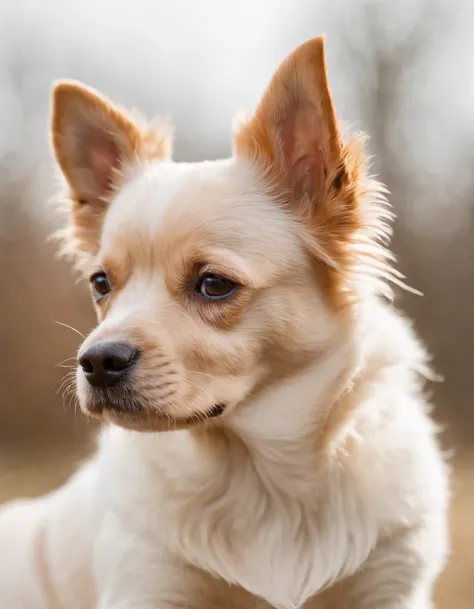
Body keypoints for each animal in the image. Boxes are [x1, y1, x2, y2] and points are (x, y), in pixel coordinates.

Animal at [0, 38, 448, 608]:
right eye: (101, 283)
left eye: (214, 284)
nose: (96, 361)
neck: (263, 480)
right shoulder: (146, 584)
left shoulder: (392, 587)